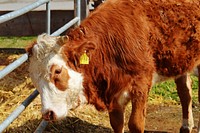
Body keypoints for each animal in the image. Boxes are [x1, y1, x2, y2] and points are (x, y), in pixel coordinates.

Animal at [26, 0, 200, 133]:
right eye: (34, 78)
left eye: (57, 71)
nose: (48, 114)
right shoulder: (113, 92)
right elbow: (117, 123)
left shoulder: (141, 85)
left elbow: (135, 124)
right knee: (185, 92)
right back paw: (186, 126)